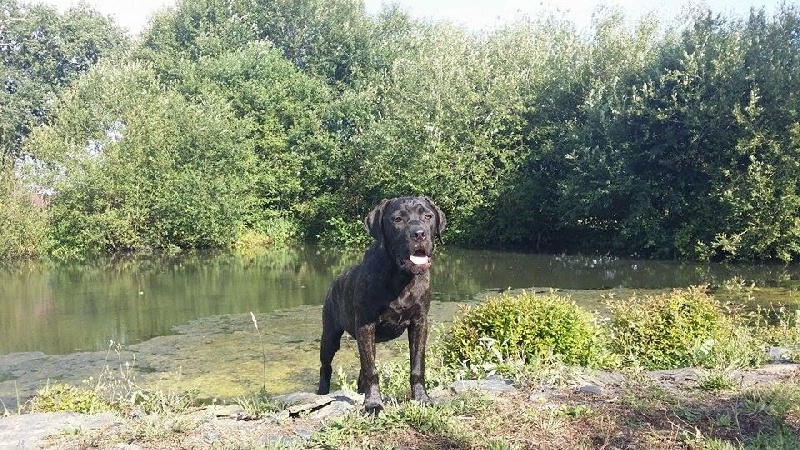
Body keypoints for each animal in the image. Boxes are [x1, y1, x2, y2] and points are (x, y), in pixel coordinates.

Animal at [317, 196, 446, 413]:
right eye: (397, 219)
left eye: (428, 216)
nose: (419, 233)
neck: (401, 278)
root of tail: (335, 280)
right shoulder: (366, 325)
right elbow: (371, 370)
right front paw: (373, 404)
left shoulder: (419, 323)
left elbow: (417, 365)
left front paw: (422, 398)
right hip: (330, 336)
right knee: (326, 366)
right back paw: (322, 393)